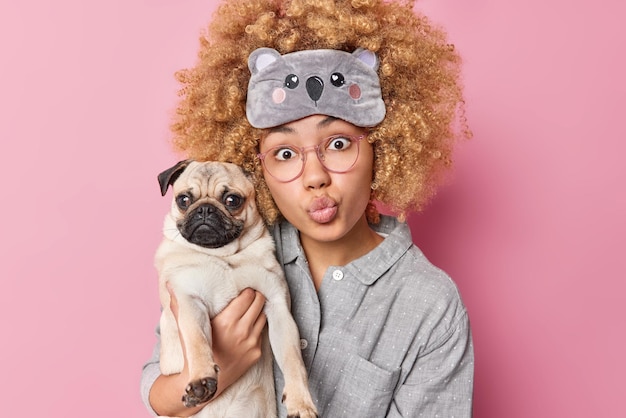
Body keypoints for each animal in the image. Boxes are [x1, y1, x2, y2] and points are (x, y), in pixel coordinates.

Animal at [154, 161, 314, 418]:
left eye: (232, 200)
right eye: (184, 200)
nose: (205, 209)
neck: (223, 256)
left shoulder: (278, 309)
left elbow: (293, 360)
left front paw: (301, 402)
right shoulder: (189, 301)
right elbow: (197, 341)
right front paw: (200, 379)